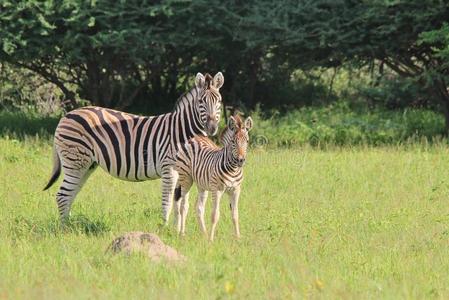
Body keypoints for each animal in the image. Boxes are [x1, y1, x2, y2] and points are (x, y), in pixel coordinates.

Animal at [43, 71, 222, 224]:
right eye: (201, 102)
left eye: (219, 101)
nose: (212, 128)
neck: (181, 131)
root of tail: (66, 116)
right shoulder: (169, 169)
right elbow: (167, 203)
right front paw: (165, 229)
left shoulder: (185, 172)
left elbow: (181, 203)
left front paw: (177, 230)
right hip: (75, 161)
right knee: (63, 195)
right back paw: (65, 229)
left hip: (86, 165)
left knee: (70, 194)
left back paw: (71, 225)